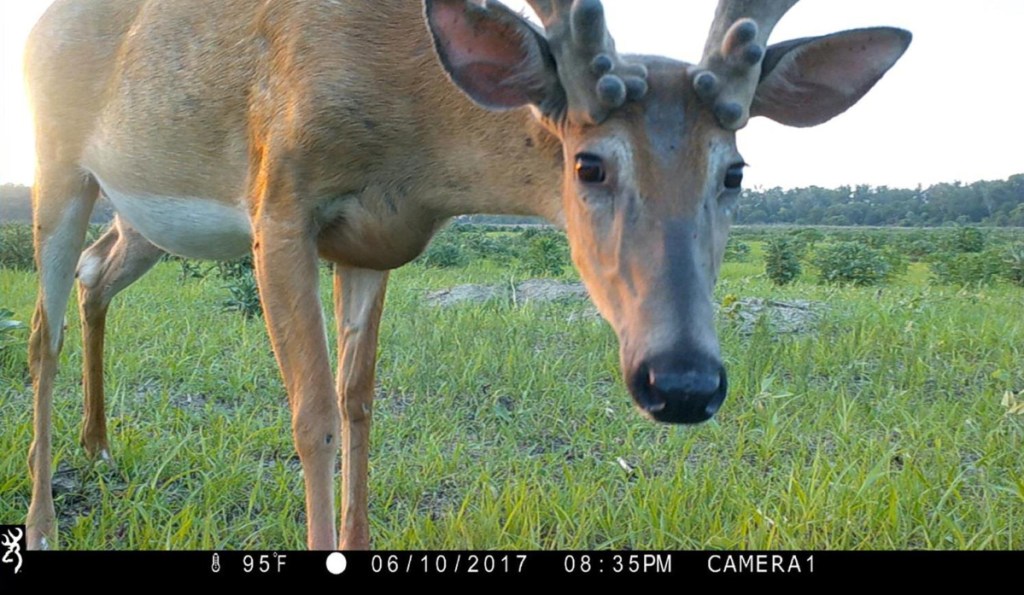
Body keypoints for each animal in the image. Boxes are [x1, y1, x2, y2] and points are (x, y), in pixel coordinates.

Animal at [19, 0, 909, 548]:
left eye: (735, 171)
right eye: (588, 164)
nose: (683, 379)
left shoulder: (369, 243)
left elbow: (360, 400)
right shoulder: (282, 204)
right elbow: (314, 415)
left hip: (144, 216)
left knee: (95, 275)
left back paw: (100, 445)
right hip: (59, 163)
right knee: (40, 332)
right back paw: (43, 520)